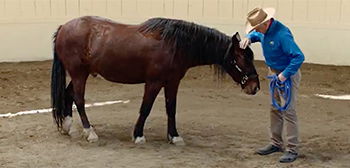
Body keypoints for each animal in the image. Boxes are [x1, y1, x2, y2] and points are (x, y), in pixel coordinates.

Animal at [51, 16, 260, 144]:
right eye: (243, 59)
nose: (255, 87)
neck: (174, 45)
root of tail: (63, 28)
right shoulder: (153, 83)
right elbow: (146, 108)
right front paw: (138, 135)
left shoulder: (173, 82)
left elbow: (171, 108)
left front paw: (174, 136)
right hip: (79, 73)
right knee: (79, 99)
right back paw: (90, 132)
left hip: (81, 73)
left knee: (69, 94)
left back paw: (69, 127)